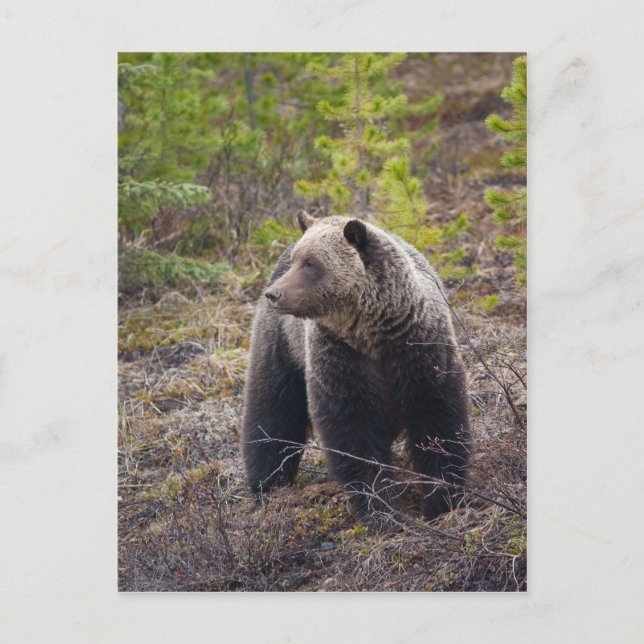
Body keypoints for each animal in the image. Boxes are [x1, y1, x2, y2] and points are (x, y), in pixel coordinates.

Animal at [241, 212, 470, 520]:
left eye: (311, 263)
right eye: (298, 260)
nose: (273, 294)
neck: (374, 335)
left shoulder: (420, 350)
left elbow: (439, 419)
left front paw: (442, 500)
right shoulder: (341, 359)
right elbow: (353, 431)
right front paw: (379, 506)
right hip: (282, 346)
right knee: (272, 414)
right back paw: (269, 486)